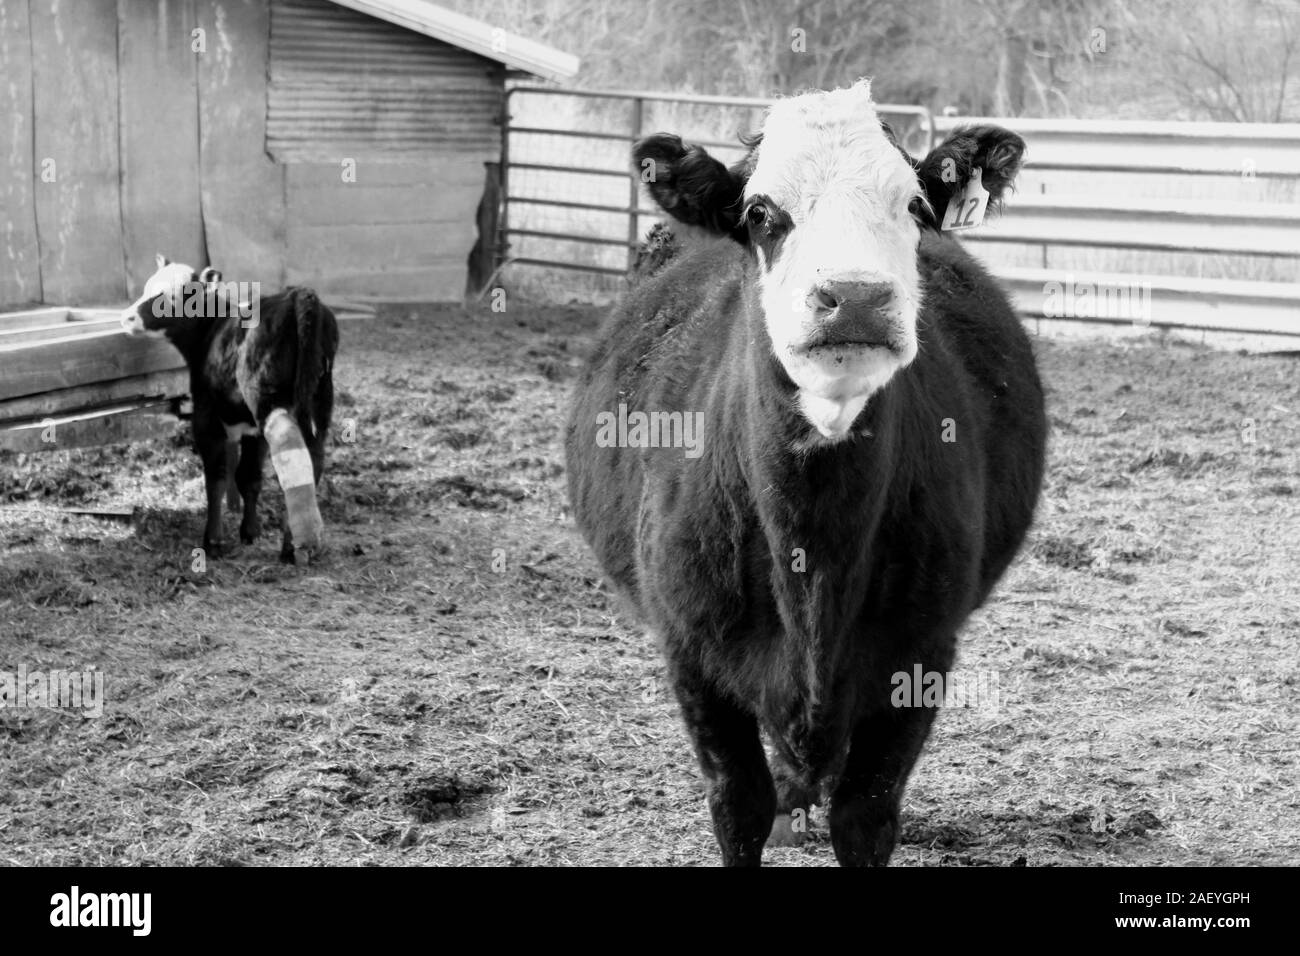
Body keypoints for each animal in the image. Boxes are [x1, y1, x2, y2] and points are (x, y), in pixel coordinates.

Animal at [120, 255, 338, 564]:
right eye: (148, 287)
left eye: (174, 296)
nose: (128, 317)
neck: (211, 329)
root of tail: (297, 296)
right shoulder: (251, 429)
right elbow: (249, 477)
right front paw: (250, 531)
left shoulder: (206, 416)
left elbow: (216, 476)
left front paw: (213, 540)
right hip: (318, 402)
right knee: (313, 457)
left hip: (266, 399)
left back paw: (295, 546)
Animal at [565, 80, 1047, 866]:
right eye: (762, 213)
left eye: (915, 207)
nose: (855, 295)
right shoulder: (691, 652)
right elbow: (739, 806)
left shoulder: (920, 653)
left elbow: (866, 813)